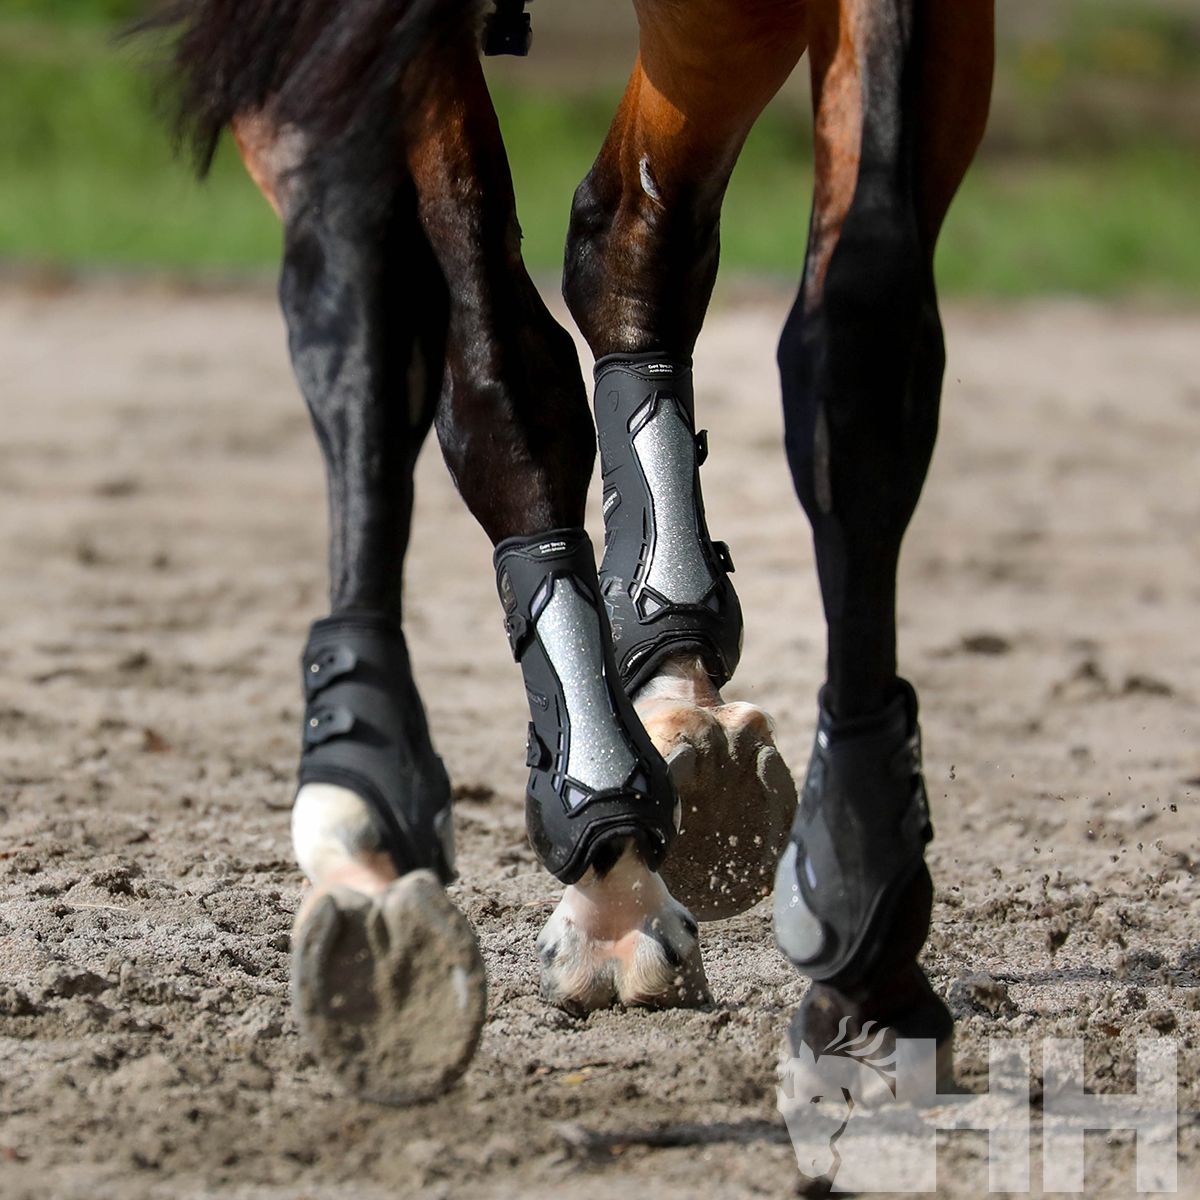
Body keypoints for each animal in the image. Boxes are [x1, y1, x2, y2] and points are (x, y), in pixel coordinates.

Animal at [151, 0, 993, 1104]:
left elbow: (860, 340)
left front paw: (864, 919)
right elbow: (459, 353)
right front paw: (376, 812)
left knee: (634, 234)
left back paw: (686, 702)